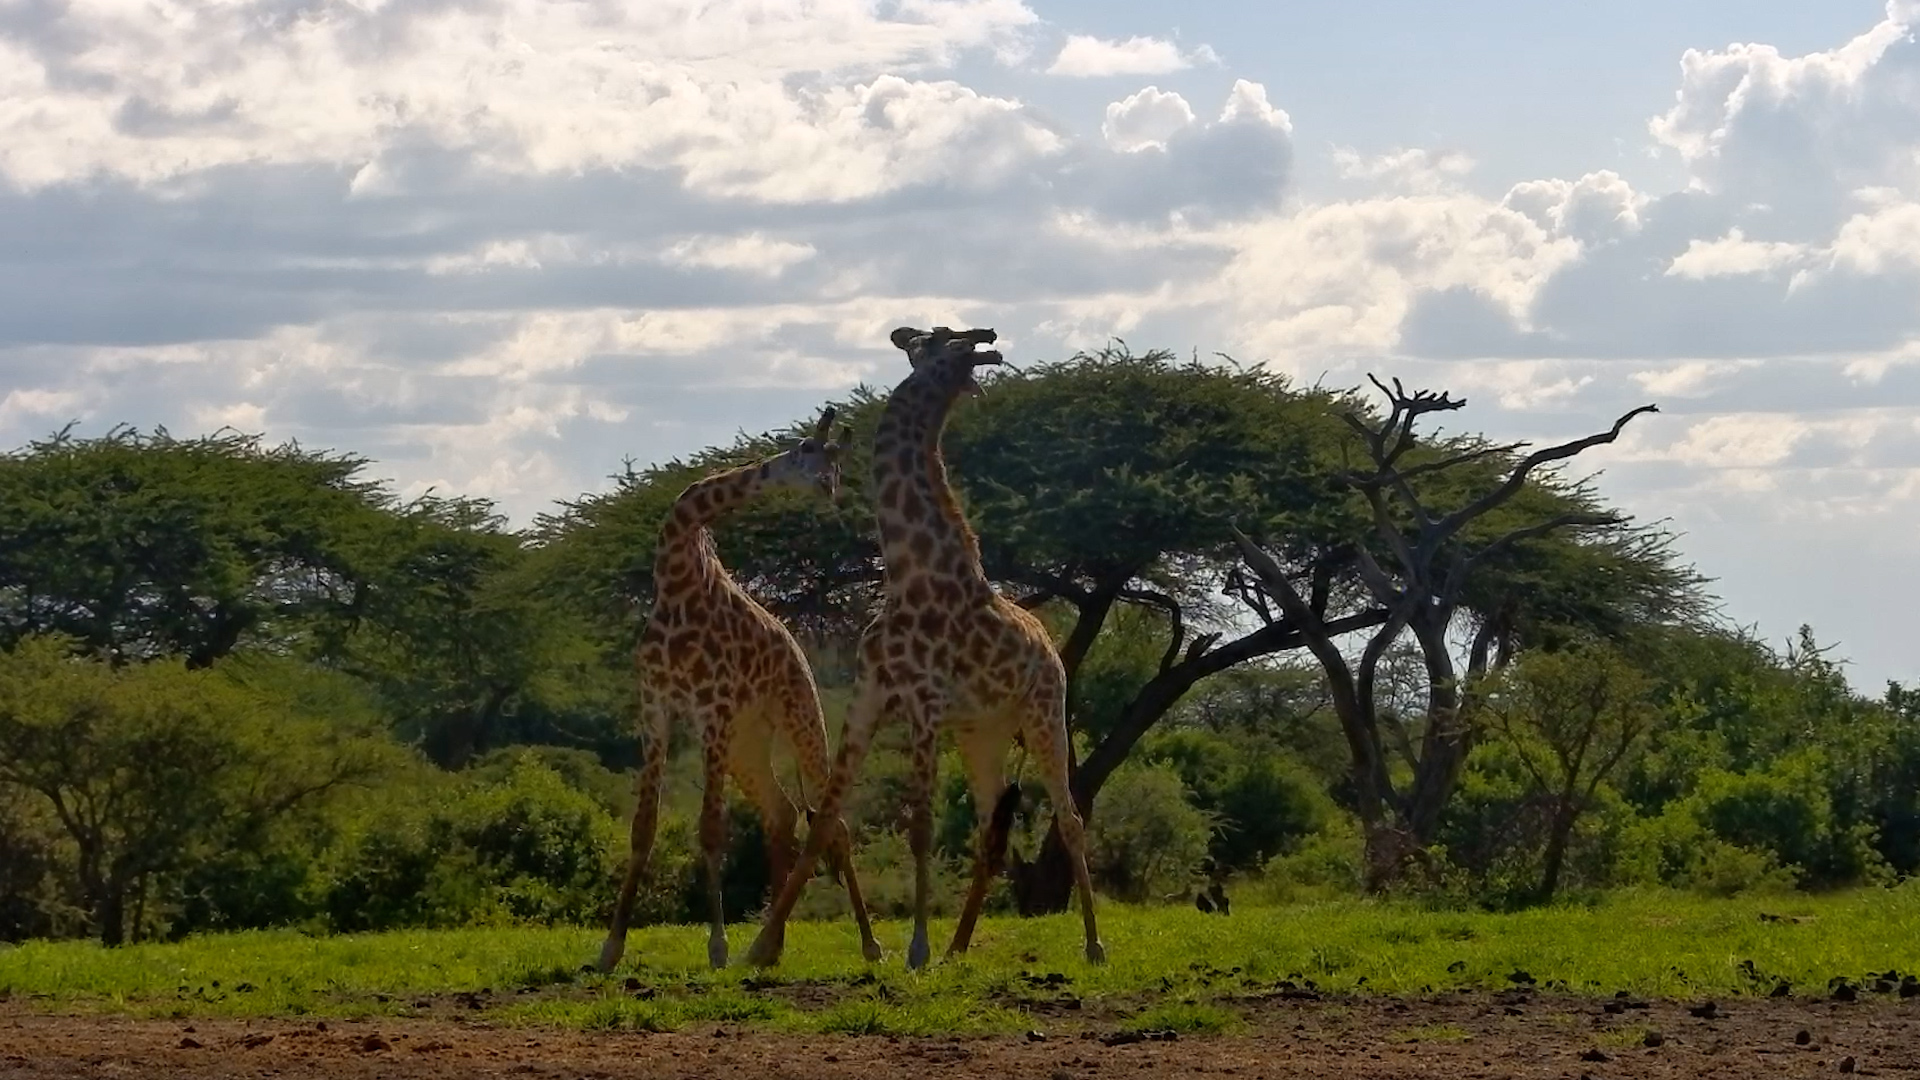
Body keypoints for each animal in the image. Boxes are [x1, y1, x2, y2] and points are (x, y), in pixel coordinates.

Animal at [597, 407, 885, 973]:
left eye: (836, 464)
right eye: (811, 452)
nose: (832, 490)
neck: (676, 583)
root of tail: (801, 654)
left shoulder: (714, 709)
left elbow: (711, 828)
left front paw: (718, 947)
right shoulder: (655, 708)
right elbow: (643, 828)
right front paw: (609, 949)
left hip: (800, 718)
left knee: (831, 823)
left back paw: (868, 945)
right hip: (749, 743)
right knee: (783, 813)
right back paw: (771, 947)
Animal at [744, 326, 1106, 971]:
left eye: (944, 341)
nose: (904, 334)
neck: (909, 575)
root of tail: (1052, 651)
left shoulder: (923, 704)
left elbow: (920, 827)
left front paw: (914, 947)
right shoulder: (869, 698)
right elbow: (826, 818)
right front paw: (760, 945)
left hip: (1044, 714)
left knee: (1068, 817)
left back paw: (1092, 945)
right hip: (983, 732)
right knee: (990, 829)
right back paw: (958, 949)